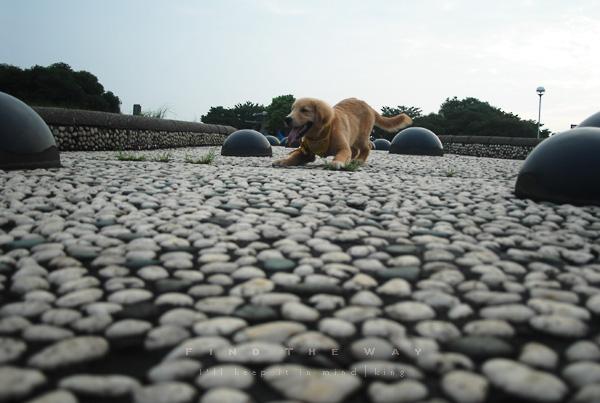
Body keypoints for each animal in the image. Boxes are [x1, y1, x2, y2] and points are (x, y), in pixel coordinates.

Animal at [272, 98, 412, 170]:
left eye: (304, 110)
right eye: (292, 109)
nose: (287, 119)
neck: (321, 134)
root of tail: (368, 105)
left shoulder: (343, 147)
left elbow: (342, 154)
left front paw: (337, 161)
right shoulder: (307, 152)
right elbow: (295, 156)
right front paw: (283, 160)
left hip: (361, 137)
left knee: (367, 147)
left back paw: (359, 160)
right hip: (352, 137)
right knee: (355, 150)